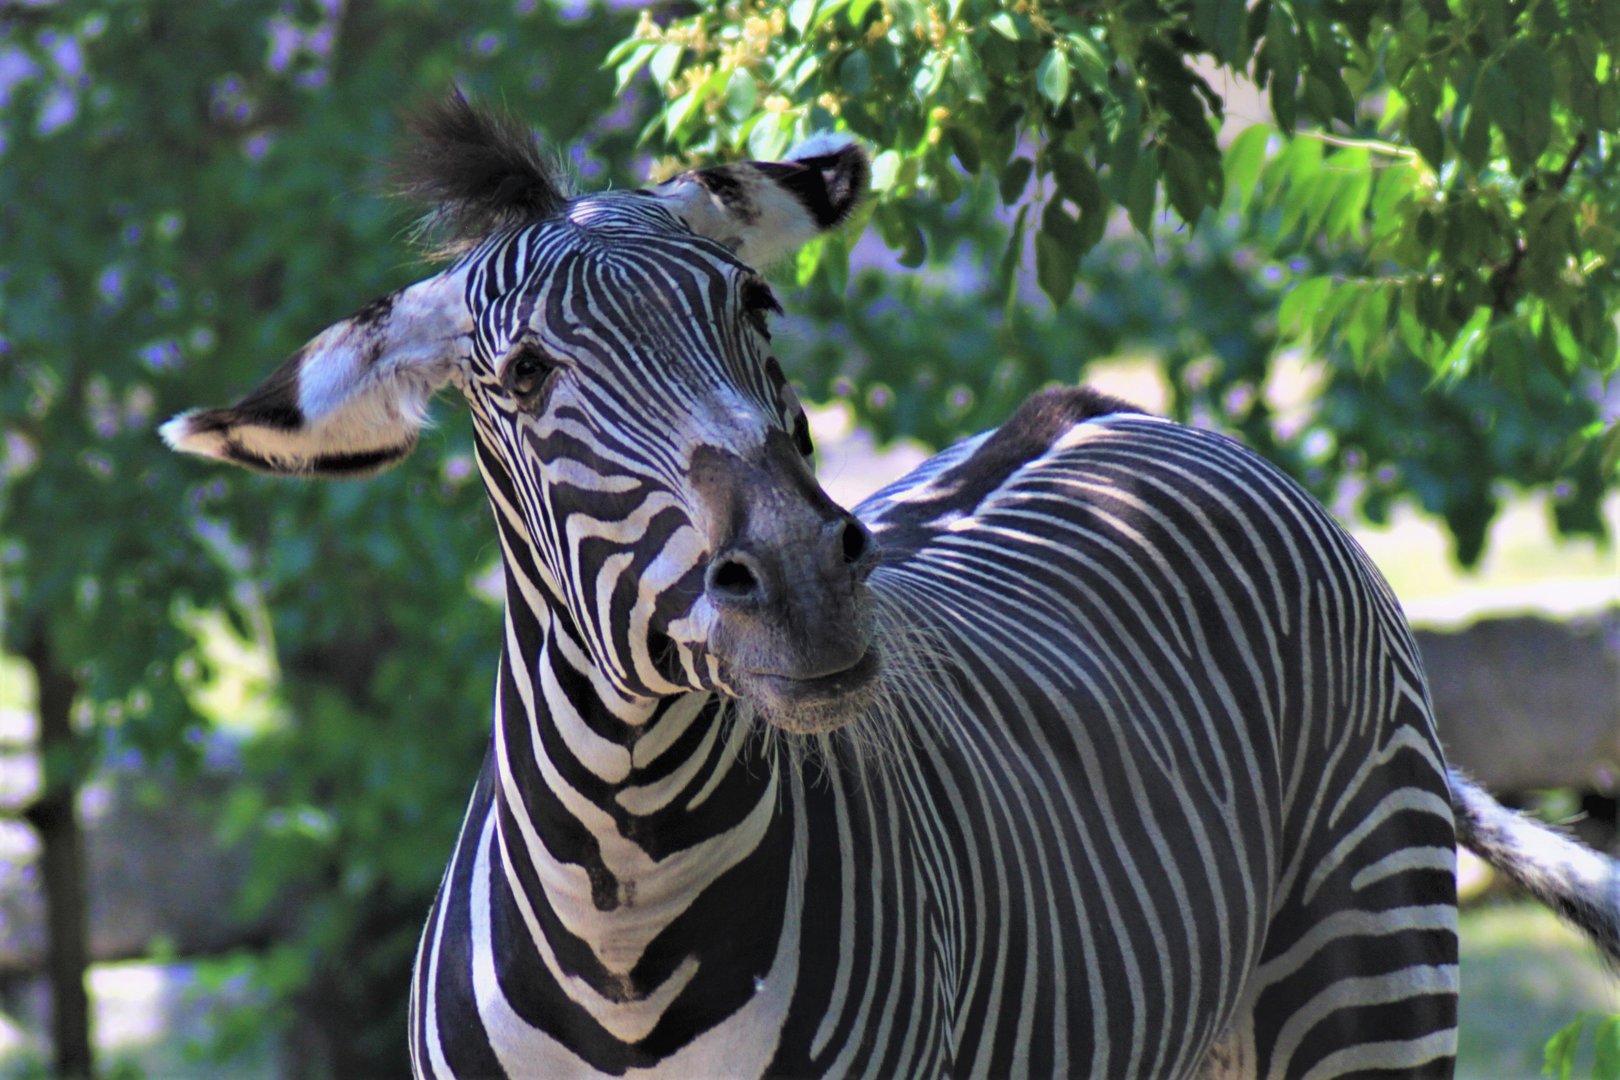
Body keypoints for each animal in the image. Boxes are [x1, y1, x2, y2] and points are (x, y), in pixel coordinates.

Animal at [163, 91, 1620, 1078]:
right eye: (521, 376)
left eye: (755, 306)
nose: (807, 586)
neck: (623, 913)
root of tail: (1093, 409)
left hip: (1369, 953)